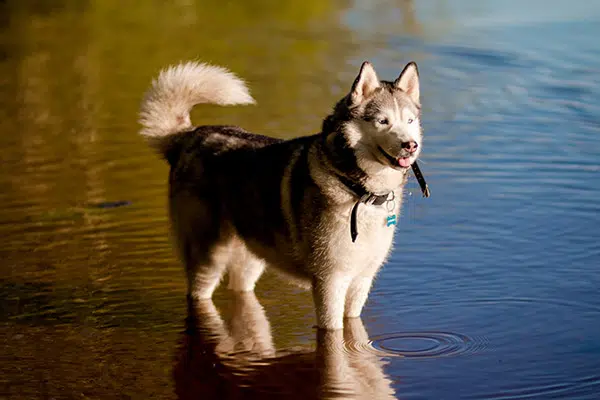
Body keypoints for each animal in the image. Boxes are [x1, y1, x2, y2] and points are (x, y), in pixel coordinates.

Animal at [140, 59, 422, 328]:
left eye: (409, 121)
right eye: (383, 121)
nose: (411, 145)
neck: (358, 190)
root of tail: (188, 136)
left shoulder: (362, 279)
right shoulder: (329, 281)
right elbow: (334, 333)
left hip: (251, 255)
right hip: (208, 260)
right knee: (200, 294)